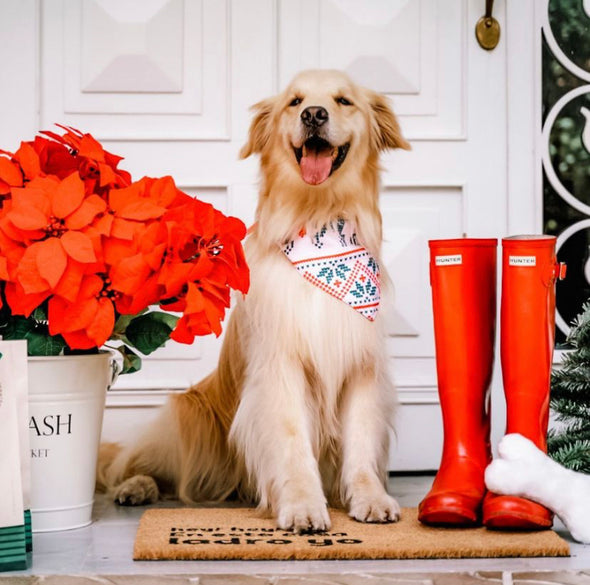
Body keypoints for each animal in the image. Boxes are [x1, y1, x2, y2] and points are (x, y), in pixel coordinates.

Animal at [98, 70, 412, 532]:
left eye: (343, 101)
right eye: (295, 101)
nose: (313, 114)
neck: (319, 220)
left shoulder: (361, 364)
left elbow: (360, 440)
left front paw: (369, 497)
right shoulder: (281, 365)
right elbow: (292, 440)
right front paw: (302, 504)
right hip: (187, 414)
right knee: (138, 463)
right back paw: (136, 486)